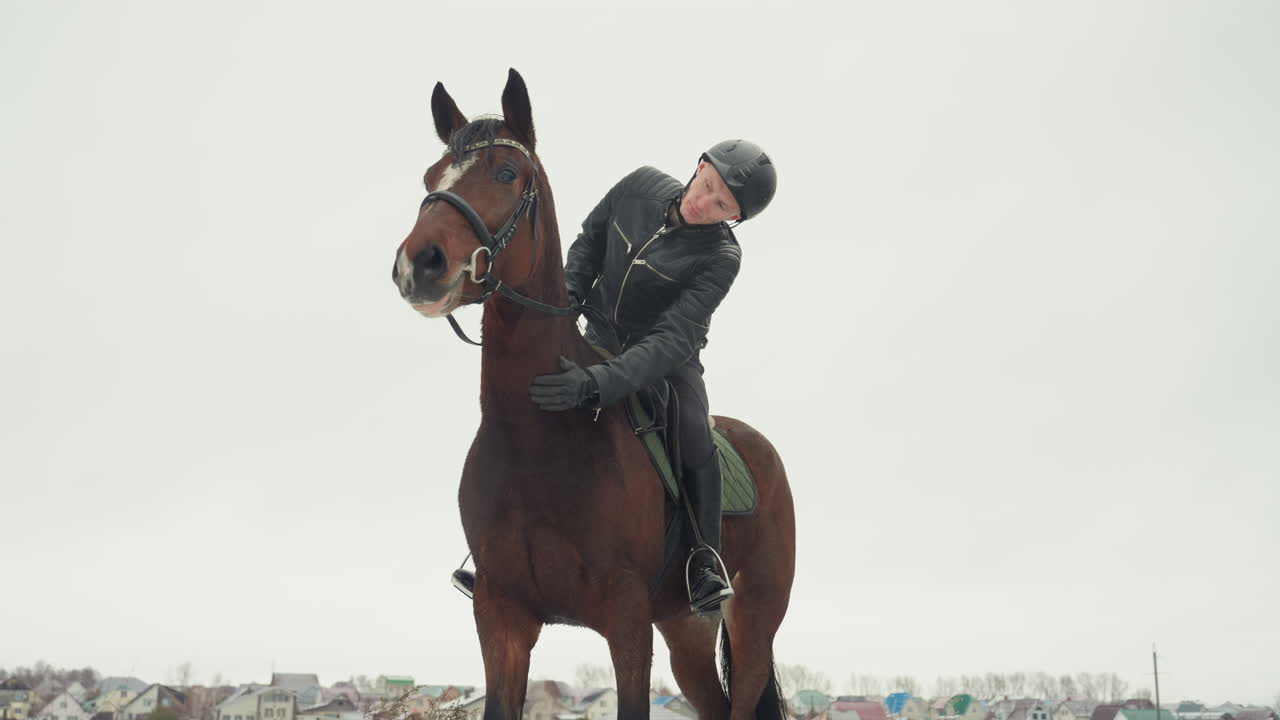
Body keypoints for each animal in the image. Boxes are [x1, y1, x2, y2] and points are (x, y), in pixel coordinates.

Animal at [391, 68, 796, 720]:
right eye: (432, 177)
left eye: (507, 174)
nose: (419, 265)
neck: (535, 438)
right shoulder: (501, 620)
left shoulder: (626, 622)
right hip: (685, 630)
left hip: (753, 622)